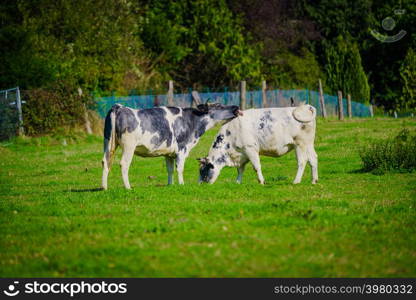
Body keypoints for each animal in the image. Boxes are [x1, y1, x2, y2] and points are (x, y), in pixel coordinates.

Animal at [102, 102, 242, 189]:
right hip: (129, 146)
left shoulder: (168, 153)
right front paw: (181, 184)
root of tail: (119, 107)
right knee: (124, 164)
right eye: (219, 105)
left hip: (108, 143)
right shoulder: (182, 149)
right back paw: (128, 187)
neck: (192, 123)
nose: (236, 107)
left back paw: (104, 187)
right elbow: (180, 168)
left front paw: (170, 185)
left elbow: (170, 169)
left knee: (105, 161)